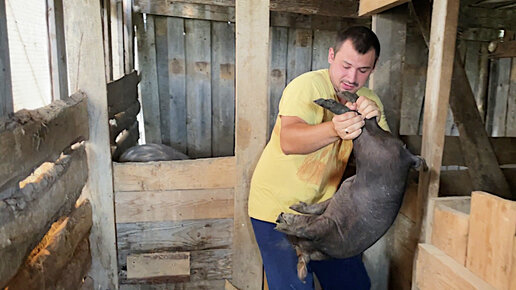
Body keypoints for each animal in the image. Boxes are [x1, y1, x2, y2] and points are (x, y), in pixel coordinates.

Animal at [276, 90, 426, 280]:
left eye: (297, 245)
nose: (279, 216)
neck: (320, 248)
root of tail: (408, 158)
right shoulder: (332, 200)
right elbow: (318, 206)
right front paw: (294, 206)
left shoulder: (325, 227)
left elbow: (309, 224)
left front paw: (283, 223)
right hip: (376, 141)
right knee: (366, 119)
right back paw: (346, 95)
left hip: (374, 150)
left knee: (356, 117)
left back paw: (325, 100)